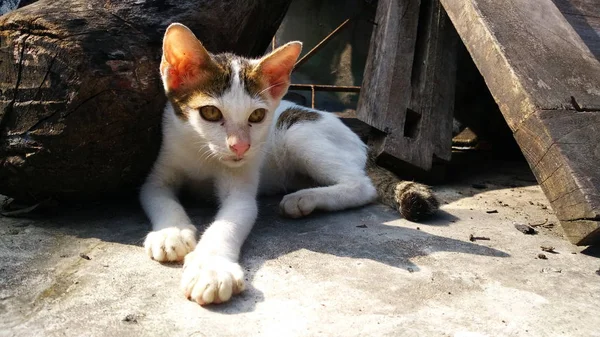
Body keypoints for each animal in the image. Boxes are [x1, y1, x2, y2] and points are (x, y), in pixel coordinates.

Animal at [142, 21, 440, 304]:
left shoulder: (242, 188)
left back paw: (304, 198)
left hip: (296, 130)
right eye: (211, 113)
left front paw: (211, 268)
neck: (203, 154)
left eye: (257, 116)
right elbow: (158, 195)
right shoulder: (159, 170)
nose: (241, 146)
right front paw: (172, 232)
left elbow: (230, 221)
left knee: (362, 186)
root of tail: (361, 143)